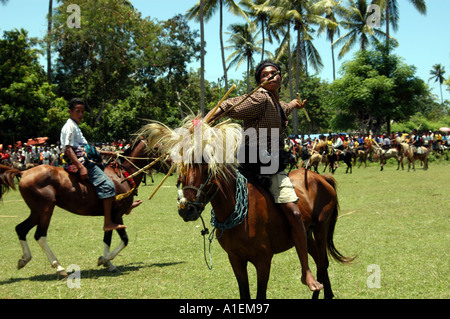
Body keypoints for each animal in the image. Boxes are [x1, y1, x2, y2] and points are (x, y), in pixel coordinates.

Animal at [0, 141, 165, 278]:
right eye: (160, 148)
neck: (123, 175)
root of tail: (23, 172)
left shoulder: (110, 216)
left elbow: (107, 238)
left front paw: (108, 263)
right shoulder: (117, 214)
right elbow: (124, 240)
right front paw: (104, 260)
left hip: (36, 211)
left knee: (21, 229)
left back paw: (24, 259)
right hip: (46, 209)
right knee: (40, 236)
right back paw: (59, 267)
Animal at [178, 165, 354, 300]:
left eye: (206, 171)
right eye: (182, 170)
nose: (186, 209)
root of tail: (321, 177)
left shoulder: (263, 260)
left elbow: (260, 296)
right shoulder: (235, 259)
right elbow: (245, 294)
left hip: (321, 228)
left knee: (322, 263)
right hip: (308, 233)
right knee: (319, 261)